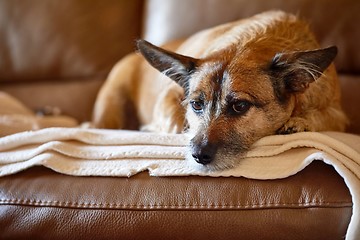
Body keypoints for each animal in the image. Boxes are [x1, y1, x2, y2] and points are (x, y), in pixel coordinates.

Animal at [91, 10, 348, 169]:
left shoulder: (338, 114)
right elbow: (176, 123)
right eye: (196, 104)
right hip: (111, 109)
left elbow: (323, 117)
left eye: (240, 106)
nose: (198, 156)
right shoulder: (170, 97)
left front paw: (299, 122)